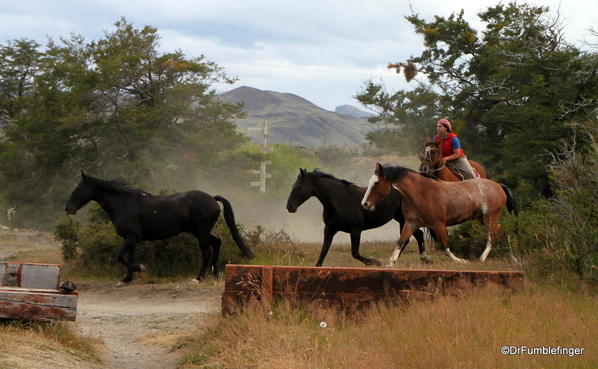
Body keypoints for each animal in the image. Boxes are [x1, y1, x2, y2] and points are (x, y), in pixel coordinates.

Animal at [65, 171, 253, 286]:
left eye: (79, 188)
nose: (68, 208)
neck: (124, 203)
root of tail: (212, 198)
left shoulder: (132, 237)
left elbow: (120, 257)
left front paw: (140, 269)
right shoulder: (131, 239)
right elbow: (129, 258)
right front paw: (127, 279)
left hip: (201, 232)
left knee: (206, 252)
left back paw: (198, 278)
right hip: (199, 232)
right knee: (217, 243)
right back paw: (217, 273)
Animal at [288, 168, 432, 266]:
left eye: (298, 186)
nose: (289, 207)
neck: (338, 201)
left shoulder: (356, 230)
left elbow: (355, 253)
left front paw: (375, 262)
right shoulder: (329, 229)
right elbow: (322, 254)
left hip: (404, 219)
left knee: (413, 236)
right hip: (400, 219)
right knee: (414, 236)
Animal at [360, 163, 520, 264]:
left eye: (376, 183)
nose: (365, 204)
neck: (420, 193)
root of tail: (499, 185)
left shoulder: (438, 224)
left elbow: (445, 246)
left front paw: (461, 261)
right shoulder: (411, 223)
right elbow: (400, 242)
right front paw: (391, 262)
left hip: (490, 216)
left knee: (491, 236)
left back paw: (482, 258)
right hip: (482, 218)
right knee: (503, 232)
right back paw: (513, 257)